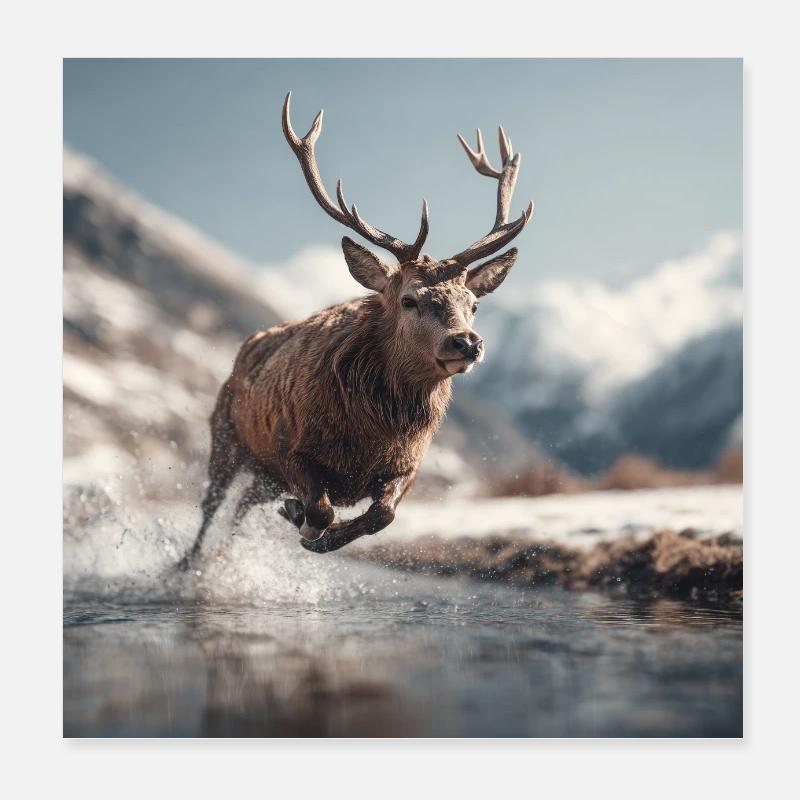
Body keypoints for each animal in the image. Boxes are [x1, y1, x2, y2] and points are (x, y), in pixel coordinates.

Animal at [178, 92, 534, 569]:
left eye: (473, 305)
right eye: (409, 299)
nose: (467, 342)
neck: (369, 439)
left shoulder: (408, 467)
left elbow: (382, 515)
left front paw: (313, 528)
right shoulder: (291, 446)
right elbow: (321, 510)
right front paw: (305, 523)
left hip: (262, 474)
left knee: (241, 507)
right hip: (227, 437)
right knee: (211, 504)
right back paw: (188, 564)